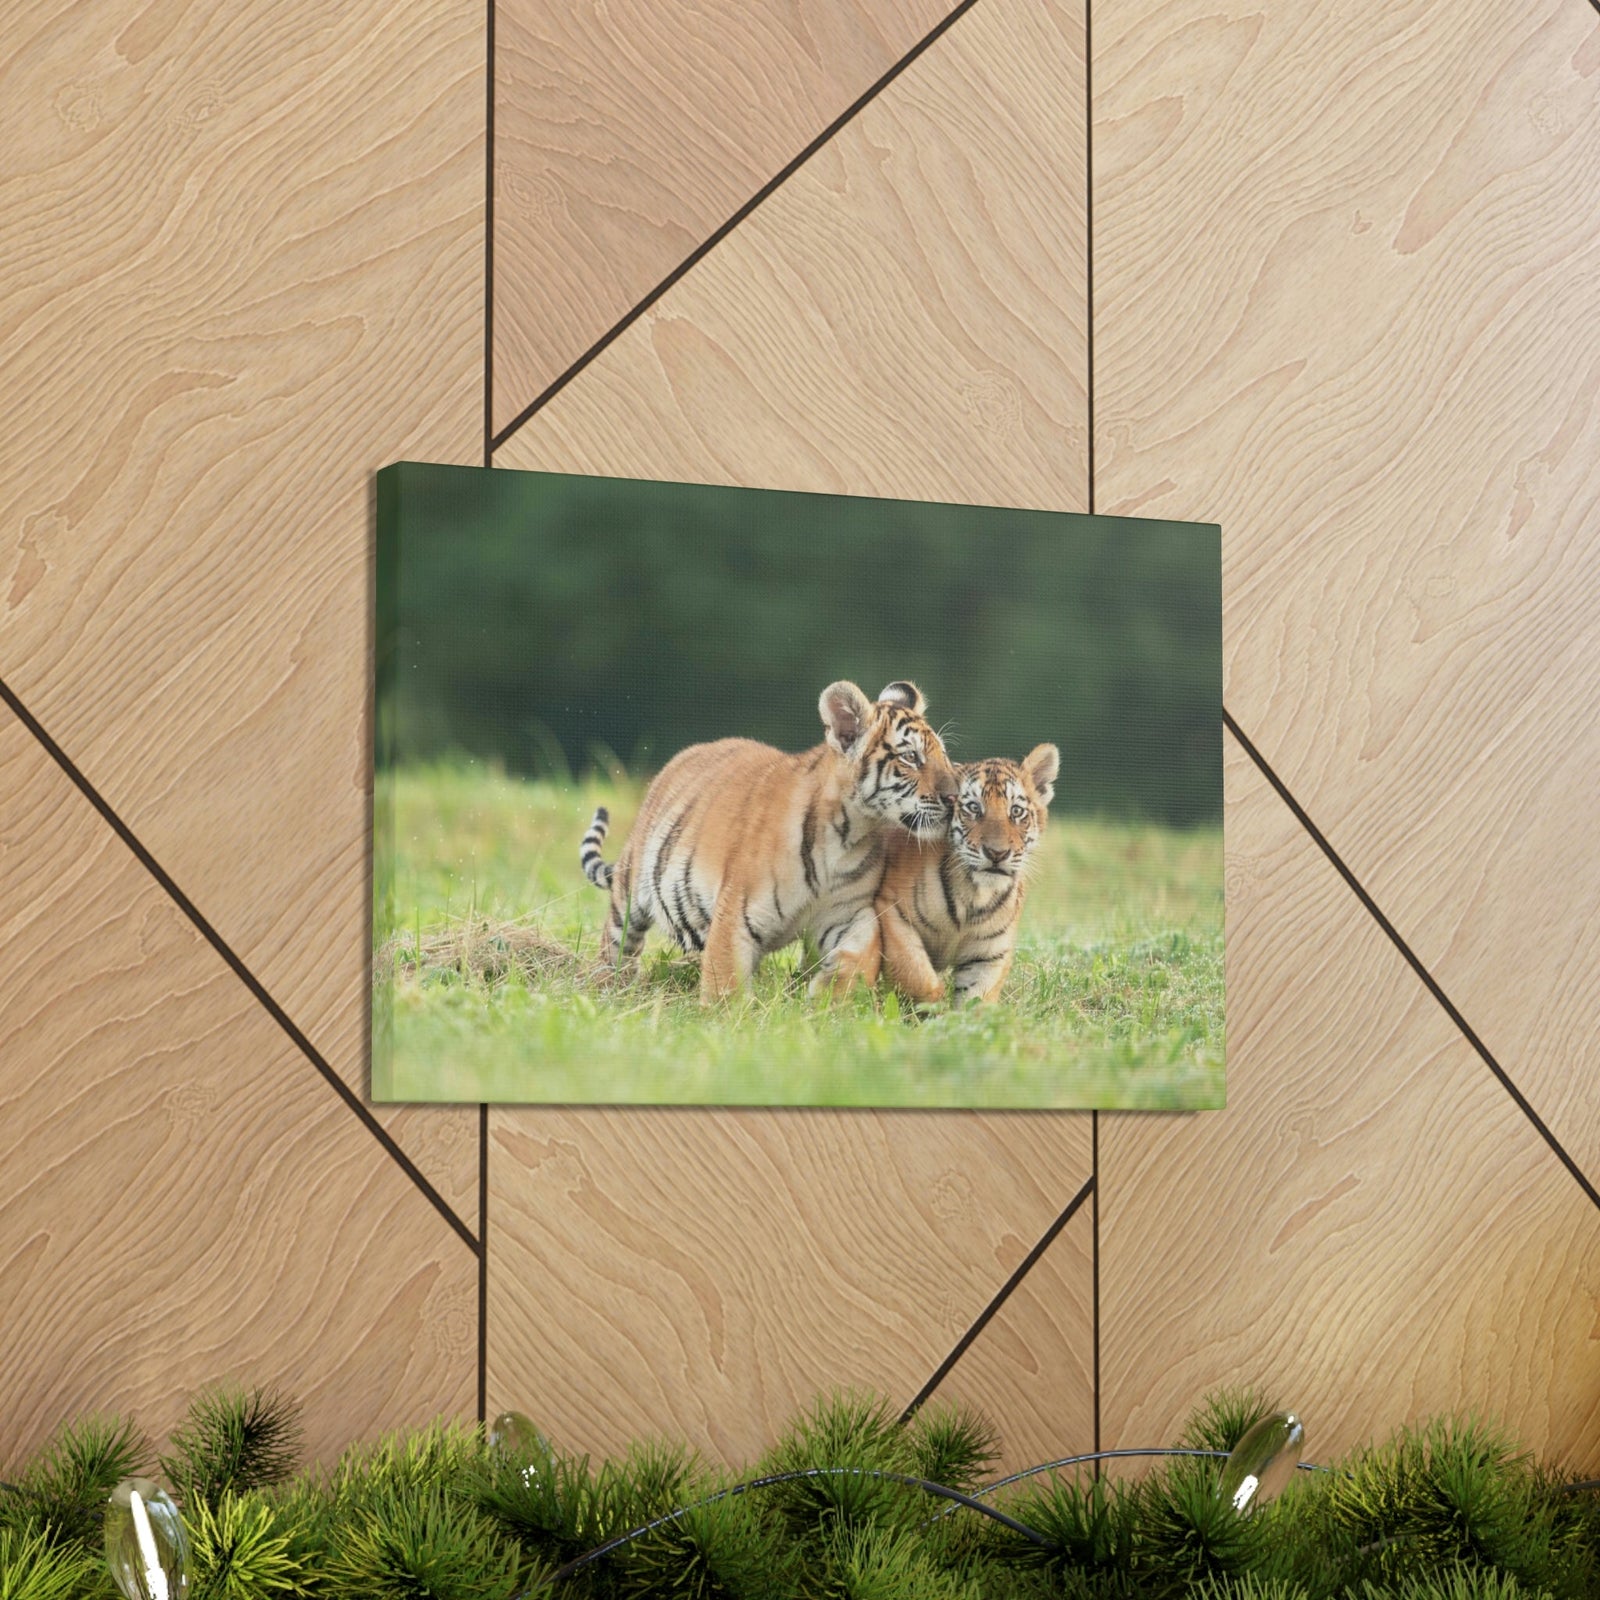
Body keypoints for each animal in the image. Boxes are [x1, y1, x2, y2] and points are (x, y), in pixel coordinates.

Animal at [578, 681, 958, 1001]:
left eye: (943, 755)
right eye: (910, 757)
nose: (955, 796)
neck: (849, 834)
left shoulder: (849, 912)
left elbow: (863, 952)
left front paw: (830, 997)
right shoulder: (735, 915)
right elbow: (725, 984)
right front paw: (727, 1021)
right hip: (629, 895)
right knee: (616, 945)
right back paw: (608, 988)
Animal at [866, 744, 1060, 1006]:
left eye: (1016, 811)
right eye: (974, 808)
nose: (997, 853)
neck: (975, 894)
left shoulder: (989, 954)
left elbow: (976, 1001)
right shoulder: (893, 912)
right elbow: (915, 974)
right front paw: (932, 1006)